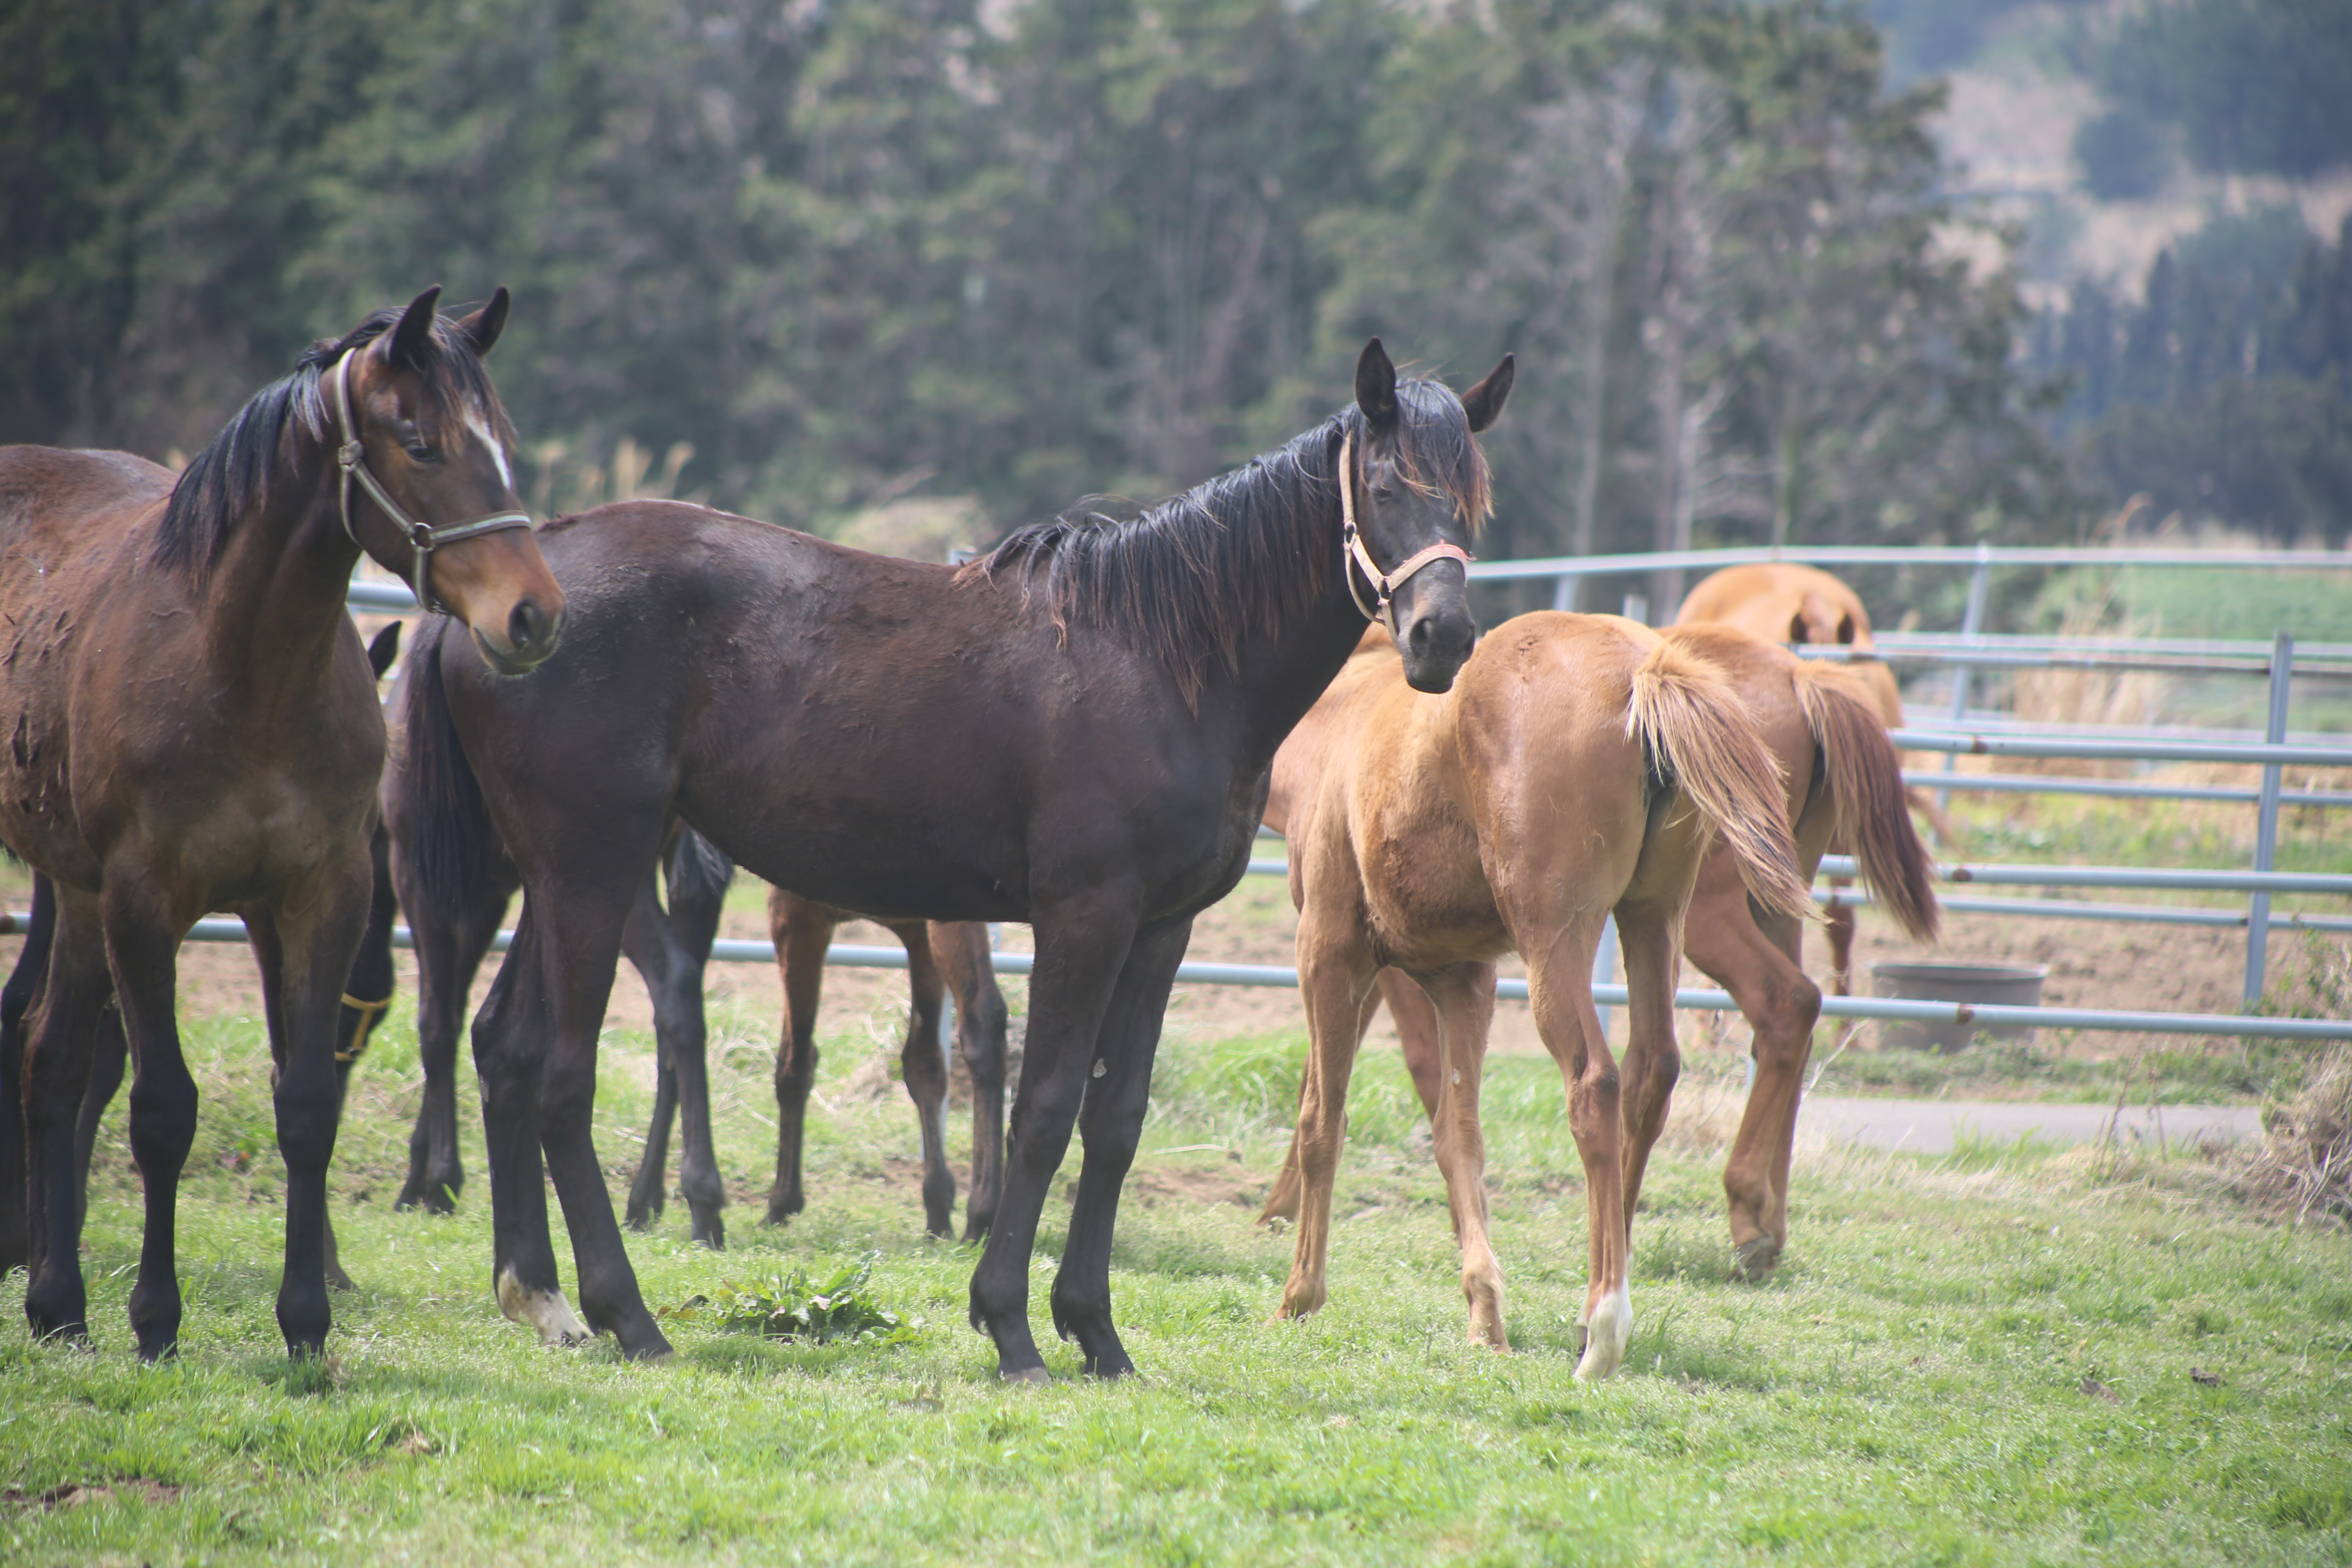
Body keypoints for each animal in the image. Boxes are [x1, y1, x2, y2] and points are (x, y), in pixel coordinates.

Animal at [0, 291, 564, 1363]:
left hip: (78, 892)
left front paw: (306, 1320)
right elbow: (162, 1109)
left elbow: (304, 1105)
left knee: (51, 1060)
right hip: (91, 894)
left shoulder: (319, 897)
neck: (242, 665)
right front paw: (157, 1318)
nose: (535, 615)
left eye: (507, 442)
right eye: (419, 441)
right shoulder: (146, 901)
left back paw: (57, 1300)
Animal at [400, 343, 1505, 1373]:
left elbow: (1115, 1120)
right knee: (560, 1073)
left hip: (561, 877)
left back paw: (538, 1296)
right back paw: (625, 1314)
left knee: (504, 1047)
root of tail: (509, 599)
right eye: (1382, 488)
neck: (1164, 660)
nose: (1441, 637)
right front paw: (1011, 1327)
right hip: (593, 869)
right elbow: (1043, 1111)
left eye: (1474, 500)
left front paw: (1096, 1333)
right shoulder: (1084, 917)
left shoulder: (1160, 929)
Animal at [1261, 625, 1938, 1316]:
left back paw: (1636, 1280)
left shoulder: (1339, 948)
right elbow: (1420, 1107)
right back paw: (1712, 1232)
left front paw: (1301, 1259)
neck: (1346, 716)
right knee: (1666, 1062)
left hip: (1613, 933)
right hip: (1693, 912)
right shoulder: (1437, 968)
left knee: (1677, 1048)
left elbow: (1337, 1103)